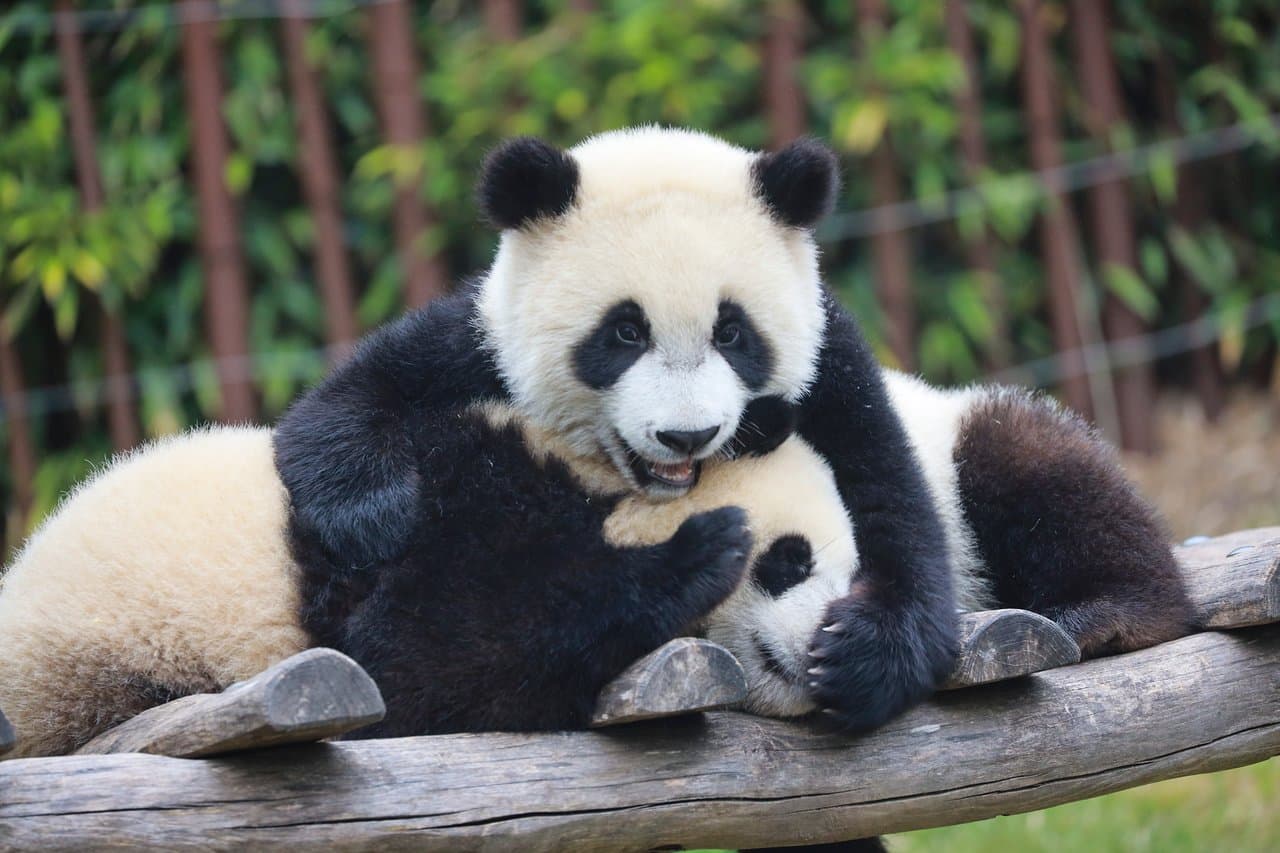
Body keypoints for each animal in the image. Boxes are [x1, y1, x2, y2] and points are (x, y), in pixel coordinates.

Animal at [0, 127, 1192, 757]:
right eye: (788, 561)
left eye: (735, 332)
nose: (689, 431)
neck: (599, 483)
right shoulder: (458, 448)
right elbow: (428, 651)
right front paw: (693, 557)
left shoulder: (840, 375)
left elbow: (894, 496)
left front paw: (869, 644)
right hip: (110, 656)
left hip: (971, 430)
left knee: (1027, 469)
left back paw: (1104, 608)